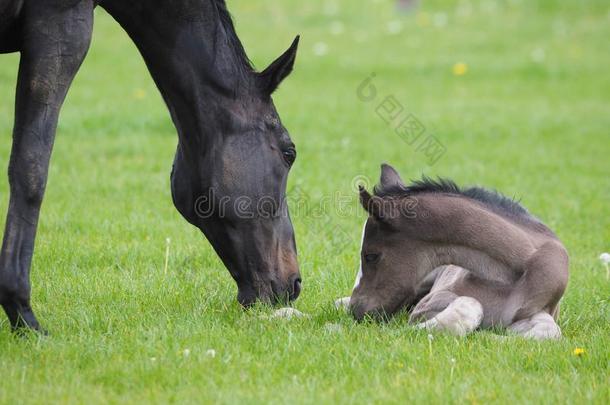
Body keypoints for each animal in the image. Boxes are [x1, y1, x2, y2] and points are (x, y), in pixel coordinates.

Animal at [334, 163, 568, 340]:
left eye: (371, 256)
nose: (357, 310)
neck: (508, 277)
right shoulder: (426, 305)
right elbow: (469, 304)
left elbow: (550, 331)